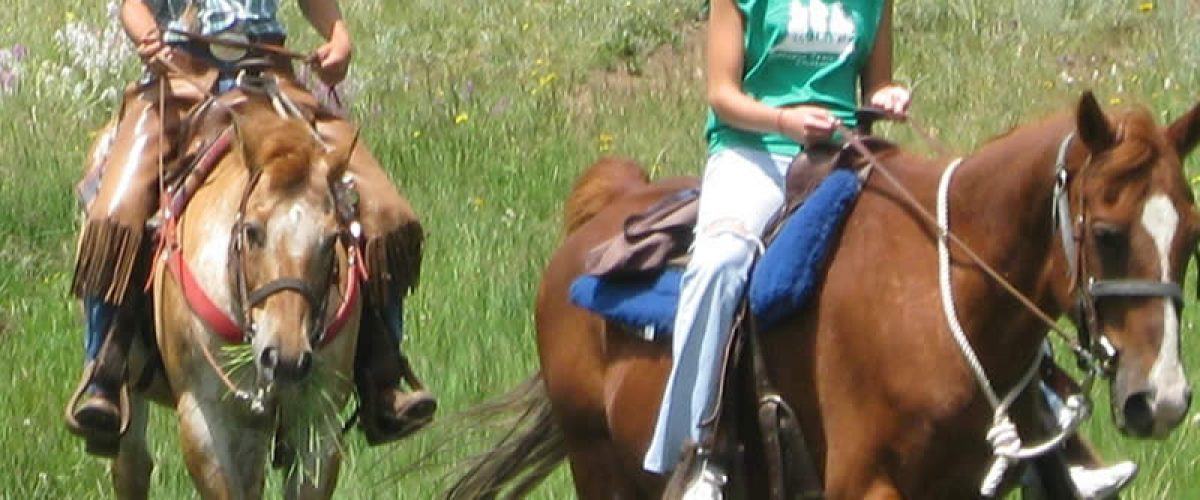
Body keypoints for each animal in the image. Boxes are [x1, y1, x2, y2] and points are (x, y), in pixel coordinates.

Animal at [94, 91, 360, 496]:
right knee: (132, 467)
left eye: (332, 239)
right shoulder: (204, 420)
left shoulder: (318, 421)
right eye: (252, 231)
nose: (285, 359)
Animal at [448, 91, 1200, 496]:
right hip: (600, 466)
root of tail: (605, 209)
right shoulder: (865, 484)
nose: (1160, 399)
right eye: (1107, 234)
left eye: (1190, 237)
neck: (940, 295)